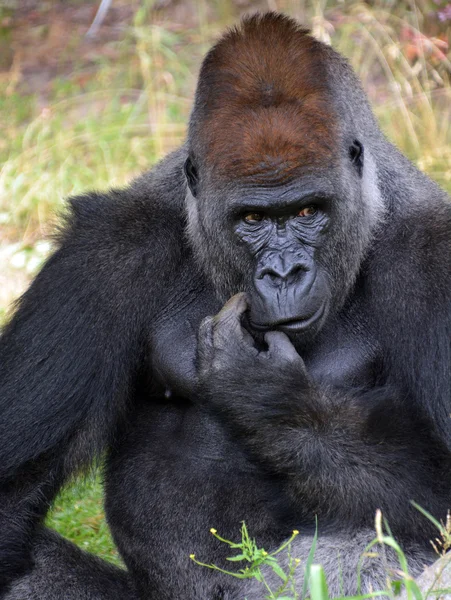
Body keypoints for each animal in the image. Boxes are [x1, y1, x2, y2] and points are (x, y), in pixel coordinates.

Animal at [0, 10, 451, 600]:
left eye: (308, 211)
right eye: (252, 219)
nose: (282, 273)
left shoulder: (434, 259)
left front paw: (272, 399)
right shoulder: (103, 252)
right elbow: (9, 492)